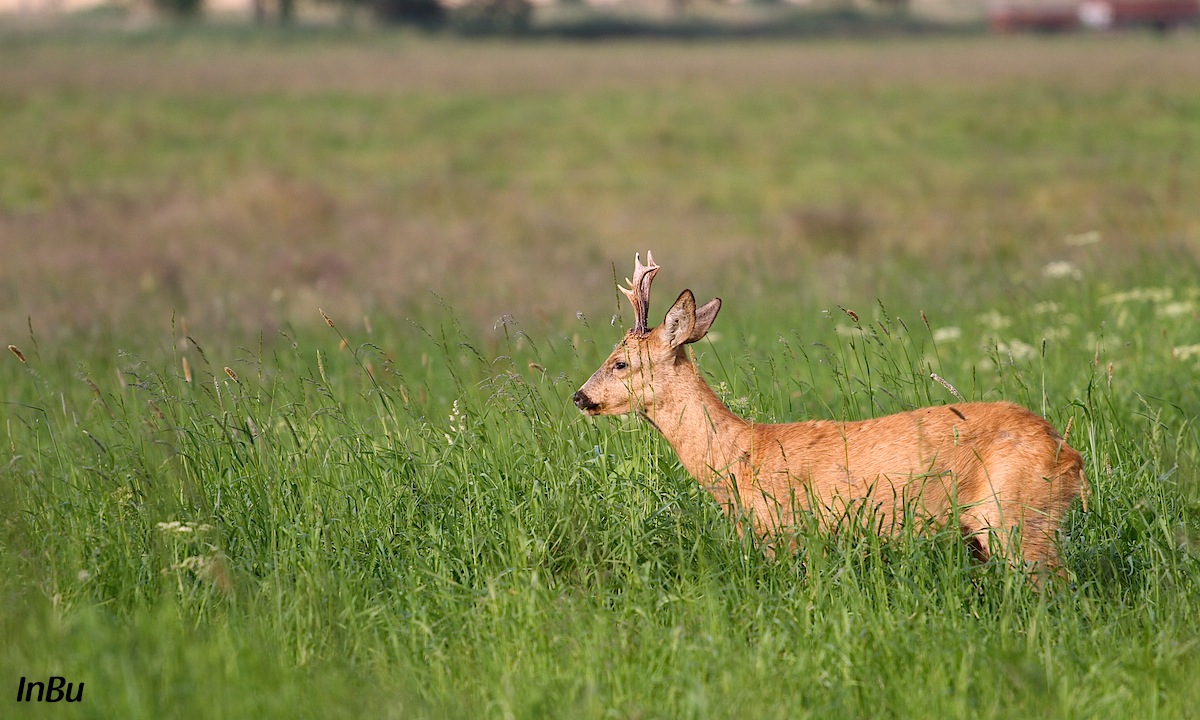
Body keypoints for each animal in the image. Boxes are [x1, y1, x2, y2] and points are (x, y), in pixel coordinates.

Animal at [571, 252, 1089, 578]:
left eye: (619, 362)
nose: (579, 395)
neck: (739, 459)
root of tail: (1070, 457)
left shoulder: (784, 530)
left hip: (1017, 516)